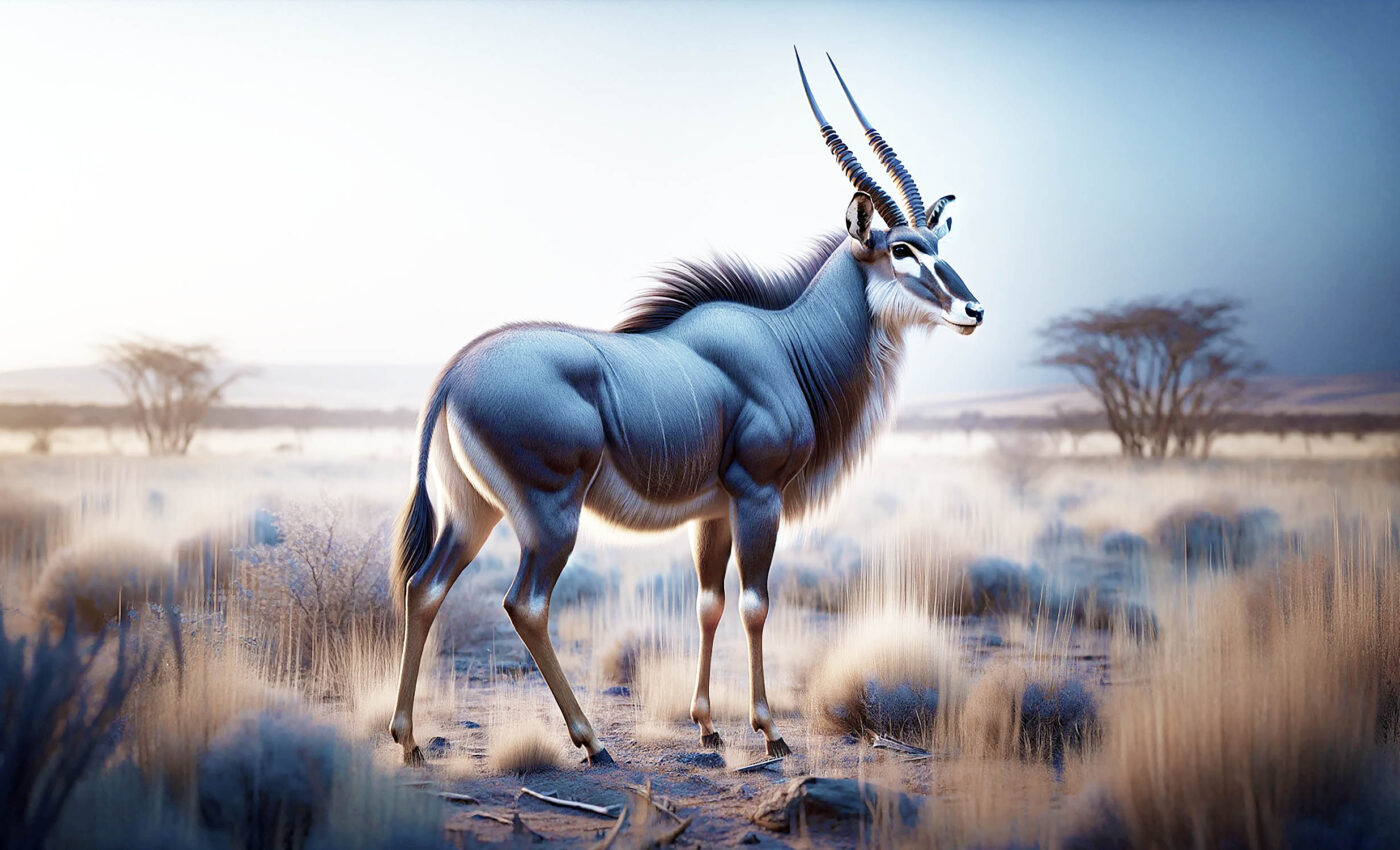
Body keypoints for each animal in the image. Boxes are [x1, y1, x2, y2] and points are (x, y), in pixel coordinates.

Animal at [388, 50, 984, 766]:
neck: (786, 344)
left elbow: (708, 603)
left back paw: (409, 741)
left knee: (425, 587)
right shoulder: (758, 496)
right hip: (549, 515)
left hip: (471, 512)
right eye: (900, 248)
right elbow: (754, 603)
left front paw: (707, 724)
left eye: (936, 240)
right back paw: (591, 742)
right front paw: (770, 731)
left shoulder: (716, 511)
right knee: (525, 603)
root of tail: (451, 376)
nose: (973, 310)